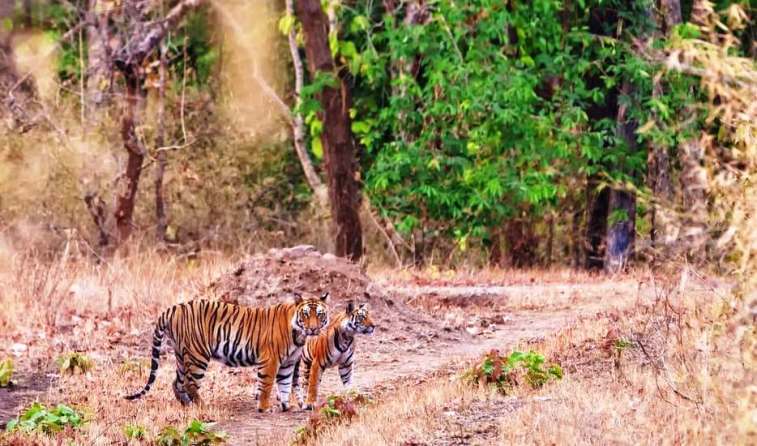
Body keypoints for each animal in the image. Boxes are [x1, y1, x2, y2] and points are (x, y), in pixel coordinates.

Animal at [124, 292, 328, 412]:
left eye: (319, 314)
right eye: (305, 314)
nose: (313, 329)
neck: (299, 335)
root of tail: (172, 308)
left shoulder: (287, 363)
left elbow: (285, 385)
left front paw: (286, 407)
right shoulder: (270, 360)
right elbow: (267, 385)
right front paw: (265, 408)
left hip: (182, 355)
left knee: (177, 383)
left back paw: (187, 405)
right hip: (198, 355)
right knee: (190, 383)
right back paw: (202, 406)